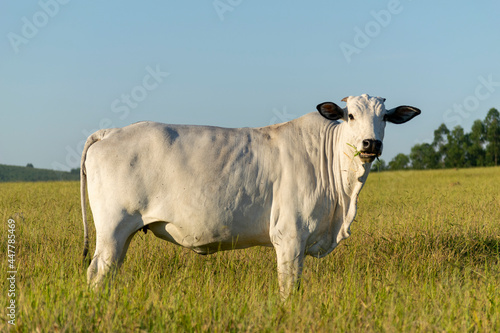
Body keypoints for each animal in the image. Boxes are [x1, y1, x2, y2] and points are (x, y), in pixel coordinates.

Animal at [80, 92, 420, 296]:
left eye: (384, 117)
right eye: (350, 116)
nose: (371, 143)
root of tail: (110, 132)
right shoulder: (290, 237)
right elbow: (289, 288)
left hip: (124, 235)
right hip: (112, 229)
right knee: (97, 272)